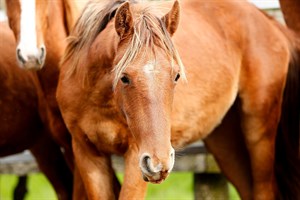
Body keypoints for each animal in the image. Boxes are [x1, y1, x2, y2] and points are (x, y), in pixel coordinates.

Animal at [57, 0, 298, 199]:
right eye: (124, 77)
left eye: (176, 76)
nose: (159, 163)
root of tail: (267, 21)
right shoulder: (87, 154)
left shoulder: (135, 156)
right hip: (225, 142)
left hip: (258, 134)